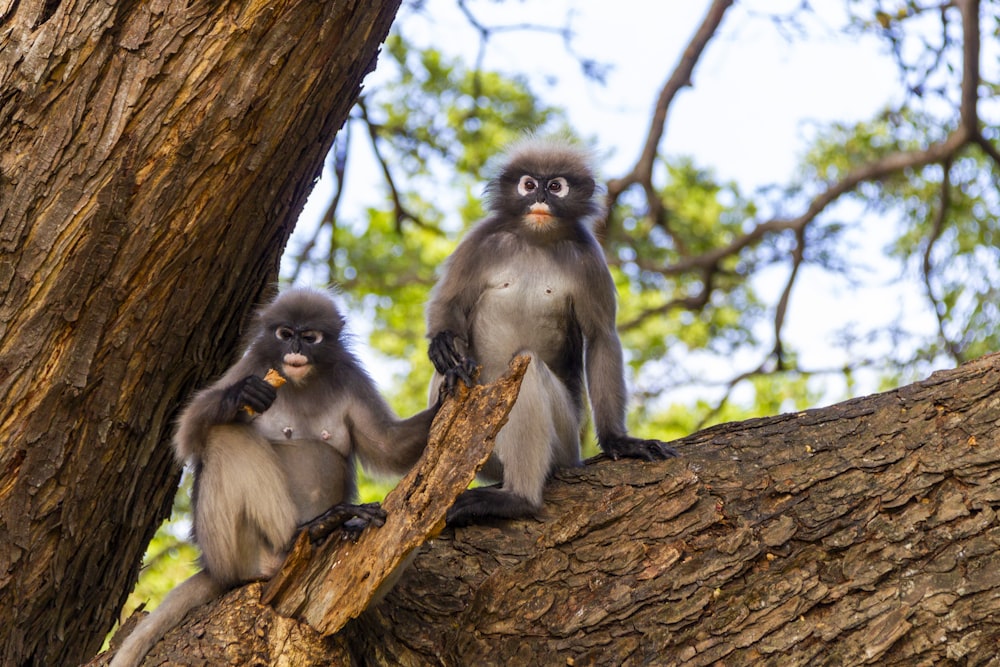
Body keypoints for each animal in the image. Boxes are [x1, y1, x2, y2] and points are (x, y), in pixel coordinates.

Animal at [110, 288, 438, 667]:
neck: (300, 381)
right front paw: (240, 395)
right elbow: (187, 435)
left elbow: (387, 445)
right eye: (285, 333)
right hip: (231, 551)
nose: (294, 348)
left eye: (309, 337)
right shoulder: (253, 366)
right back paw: (310, 530)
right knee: (223, 434)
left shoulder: (350, 376)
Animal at [426, 140, 676, 528]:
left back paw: (517, 499)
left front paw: (619, 441)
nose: (540, 197)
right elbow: (446, 306)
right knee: (450, 370)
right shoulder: (481, 240)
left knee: (528, 370)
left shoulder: (588, 256)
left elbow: (602, 337)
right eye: (529, 185)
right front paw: (443, 344)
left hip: (563, 443)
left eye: (555, 186)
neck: (535, 239)